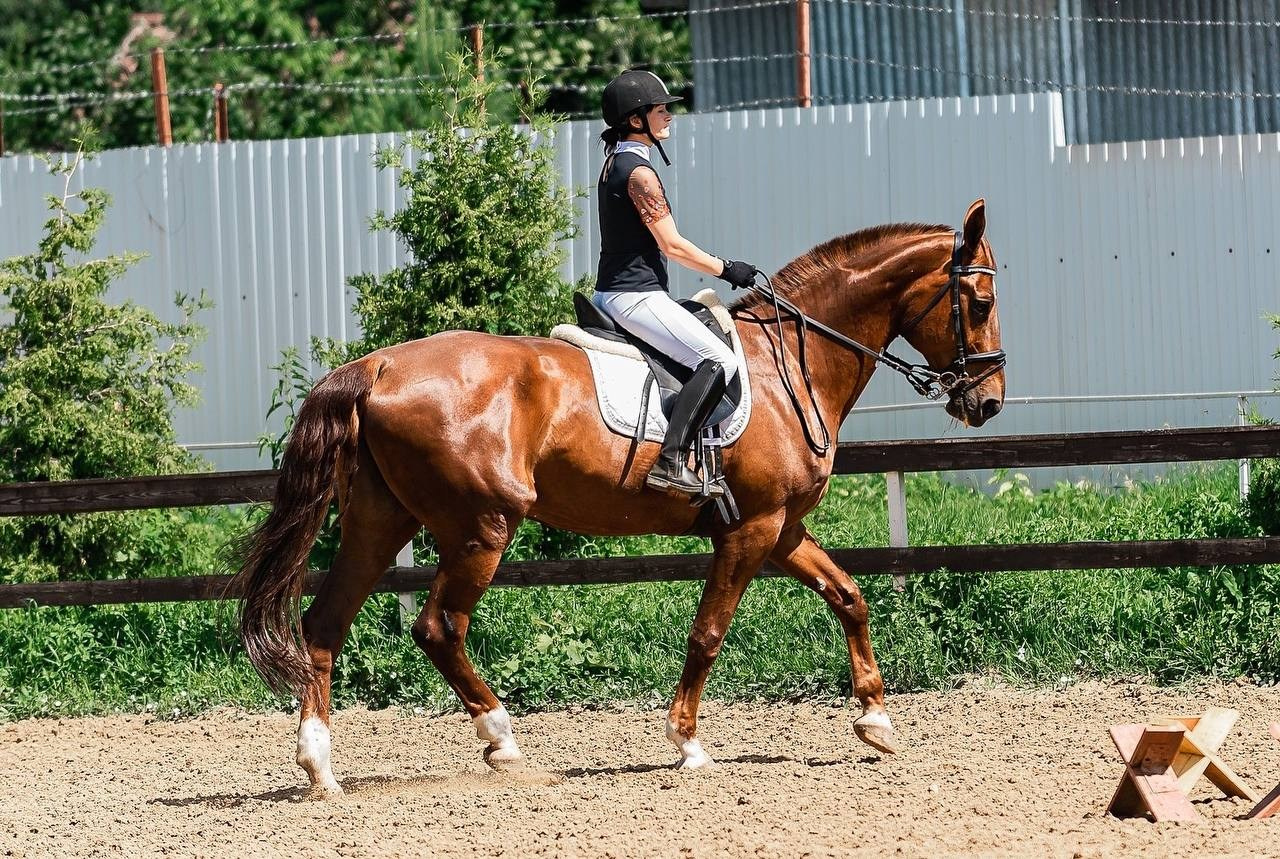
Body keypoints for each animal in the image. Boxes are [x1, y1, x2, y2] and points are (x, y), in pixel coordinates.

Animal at [231, 199, 1006, 795]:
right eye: (981, 302)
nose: (989, 401)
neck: (791, 362)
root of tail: (377, 366)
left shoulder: (780, 529)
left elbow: (850, 595)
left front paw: (876, 719)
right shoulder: (749, 530)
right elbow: (708, 632)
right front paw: (687, 743)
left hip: (379, 519)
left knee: (324, 623)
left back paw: (319, 765)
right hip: (482, 525)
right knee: (438, 627)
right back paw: (502, 740)